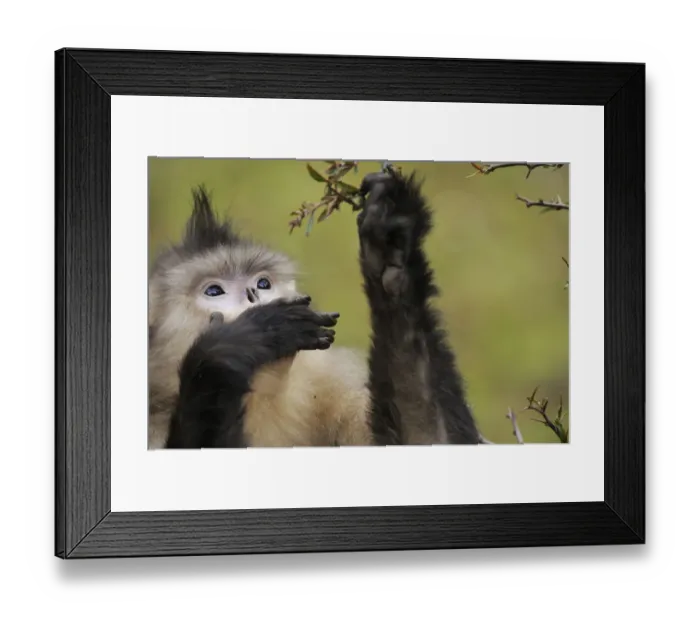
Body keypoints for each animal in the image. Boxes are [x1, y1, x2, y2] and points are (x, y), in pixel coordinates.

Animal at [147, 167, 482, 449]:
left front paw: (391, 252)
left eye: (263, 283)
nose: (254, 295)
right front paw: (232, 345)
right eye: (214, 291)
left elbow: (429, 439)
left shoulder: (335, 384)